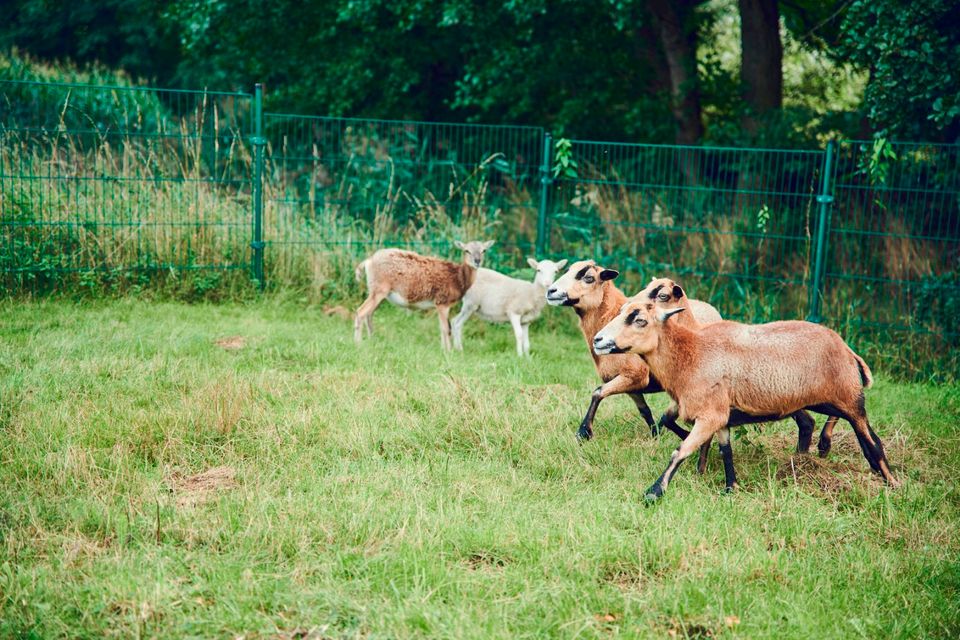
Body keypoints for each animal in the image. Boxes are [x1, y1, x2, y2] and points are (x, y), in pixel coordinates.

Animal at [354, 240, 496, 350]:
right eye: (466, 250)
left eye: (484, 250)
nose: (477, 261)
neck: (457, 279)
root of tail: (368, 261)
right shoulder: (442, 302)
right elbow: (446, 328)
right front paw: (448, 351)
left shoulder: (439, 305)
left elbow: (442, 327)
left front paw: (443, 349)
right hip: (379, 289)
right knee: (361, 311)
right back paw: (358, 343)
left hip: (375, 290)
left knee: (369, 314)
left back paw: (372, 340)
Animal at [588, 298, 896, 502]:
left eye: (639, 319)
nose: (598, 340)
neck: (689, 354)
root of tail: (847, 349)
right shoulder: (721, 416)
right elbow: (726, 451)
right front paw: (730, 487)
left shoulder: (710, 415)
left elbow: (680, 450)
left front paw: (654, 493)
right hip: (825, 399)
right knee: (861, 432)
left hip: (847, 395)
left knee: (870, 441)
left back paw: (892, 483)